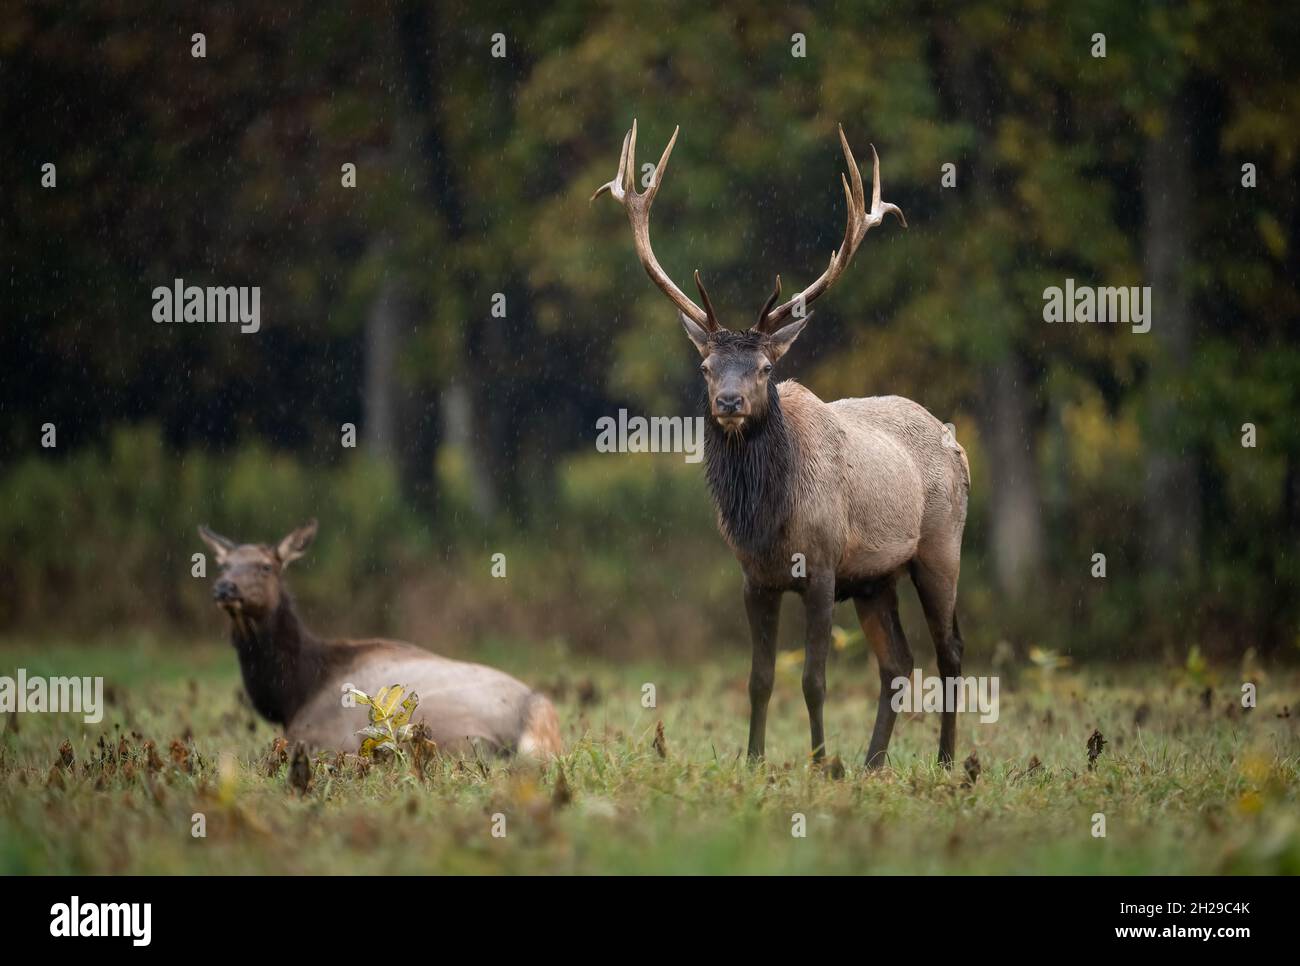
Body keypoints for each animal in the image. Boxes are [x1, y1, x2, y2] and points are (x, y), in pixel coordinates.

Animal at [197, 520, 562, 758]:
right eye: (224, 565)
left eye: (265, 567)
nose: (224, 587)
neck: (291, 695)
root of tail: (537, 710)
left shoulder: (313, 737)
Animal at [593, 121, 970, 769]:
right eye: (706, 366)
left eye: (766, 367)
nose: (729, 402)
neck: (769, 516)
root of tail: (959, 447)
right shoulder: (755, 579)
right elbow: (759, 680)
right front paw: (754, 761)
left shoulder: (820, 568)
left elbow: (812, 681)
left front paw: (820, 764)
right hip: (875, 579)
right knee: (898, 662)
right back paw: (873, 763)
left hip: (941, 546)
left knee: (949, 653)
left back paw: (948, 763)